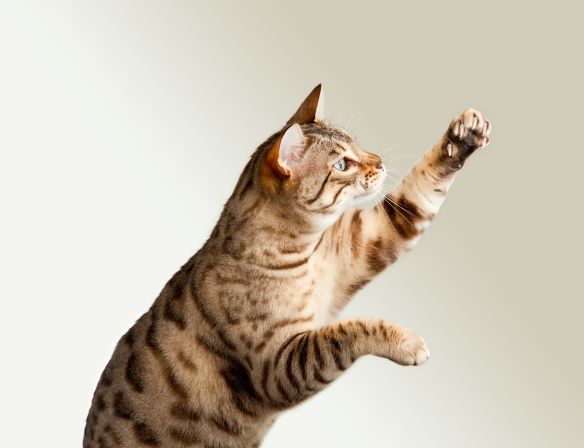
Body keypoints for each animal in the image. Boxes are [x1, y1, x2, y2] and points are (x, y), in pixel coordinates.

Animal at [83, 85, 492, 448]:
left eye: (357, 143)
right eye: (342, 163)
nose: (379, 161)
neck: (306, 251)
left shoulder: (365, 242)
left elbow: (418, 193)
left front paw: (463, 136)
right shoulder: (278, 365)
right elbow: (348, 330)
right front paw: (406, 342)